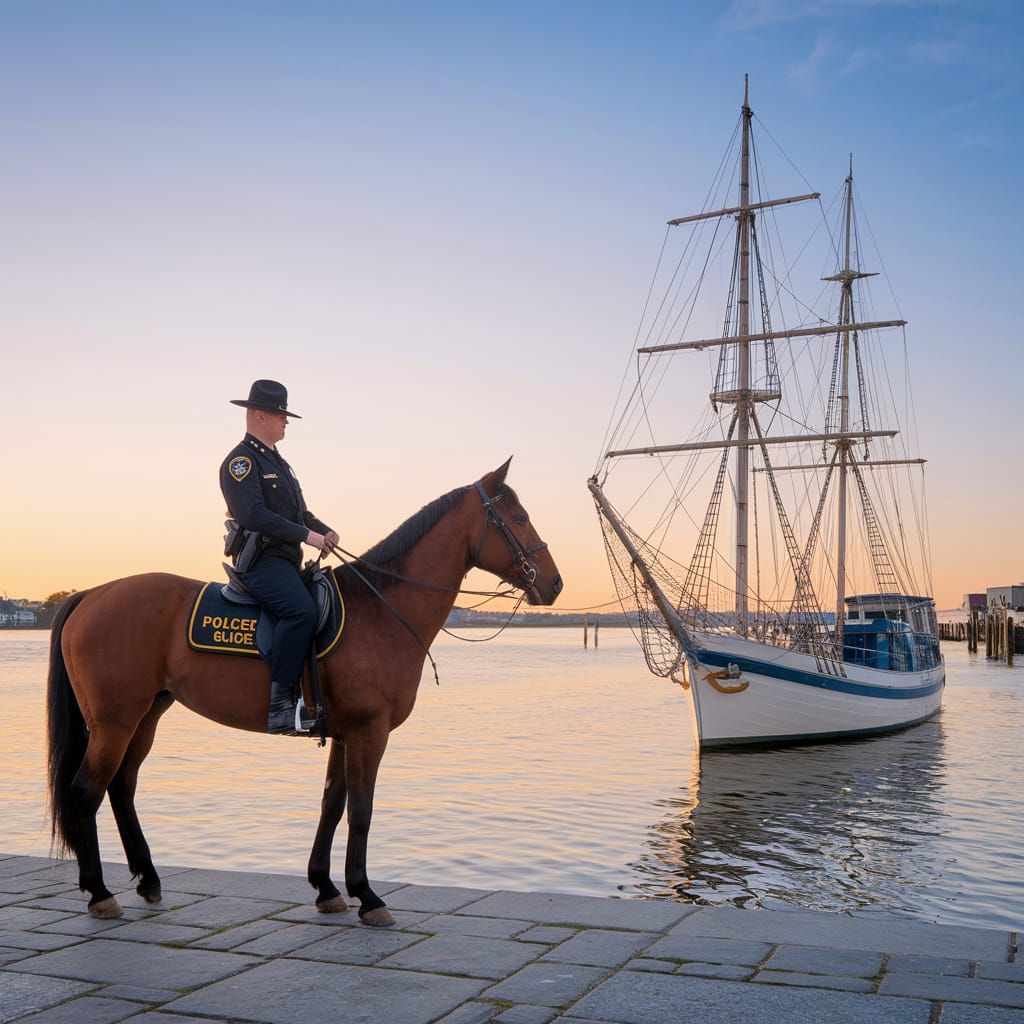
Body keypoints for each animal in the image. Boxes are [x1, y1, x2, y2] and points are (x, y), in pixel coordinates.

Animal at [46, 458, 562, 924]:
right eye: (519, 517)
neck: (381, 608)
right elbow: (361, 810)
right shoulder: (370, 731)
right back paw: (99, 892)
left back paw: (149, 879)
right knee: (87, 789)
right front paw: (367, 895)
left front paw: (327, 887)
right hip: (114, 720)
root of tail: (92, 594)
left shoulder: (345, 732)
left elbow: (332, 803)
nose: (554, 583)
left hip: (146, 714)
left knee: (121, 787)